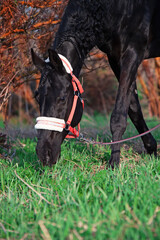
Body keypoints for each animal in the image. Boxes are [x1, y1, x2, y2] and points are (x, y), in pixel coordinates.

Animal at [31, 0, 160, 168]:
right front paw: (152, 149)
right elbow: (133, 107)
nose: (43, 154)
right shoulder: (115, 58)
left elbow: (119, 115)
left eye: (62, 98)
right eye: (37, 98)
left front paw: (114, 163)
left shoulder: (133, 53)